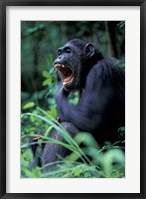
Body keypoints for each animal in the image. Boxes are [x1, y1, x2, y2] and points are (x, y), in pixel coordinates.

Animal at [41, 38, 125, 172]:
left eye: (68, 51)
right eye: (59, 52)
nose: (59, 57)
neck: (89, 69)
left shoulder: (100, 73)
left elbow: (89, 119)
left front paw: (58, 91)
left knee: (66, 128)